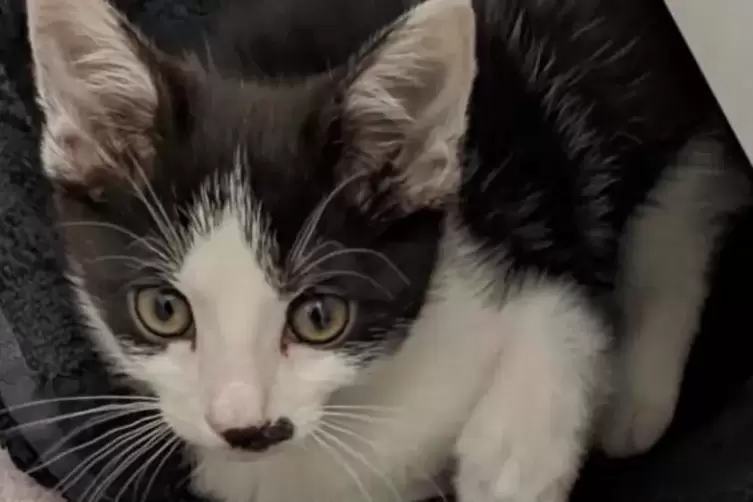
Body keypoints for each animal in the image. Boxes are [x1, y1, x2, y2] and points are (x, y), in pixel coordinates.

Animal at [26, 0, 748, 500]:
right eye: (162, 310)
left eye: (320, 317)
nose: (245, 426)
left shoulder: (523, 235)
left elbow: (561, 315)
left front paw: (510, 461)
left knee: (691, 190)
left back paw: (639, 395)